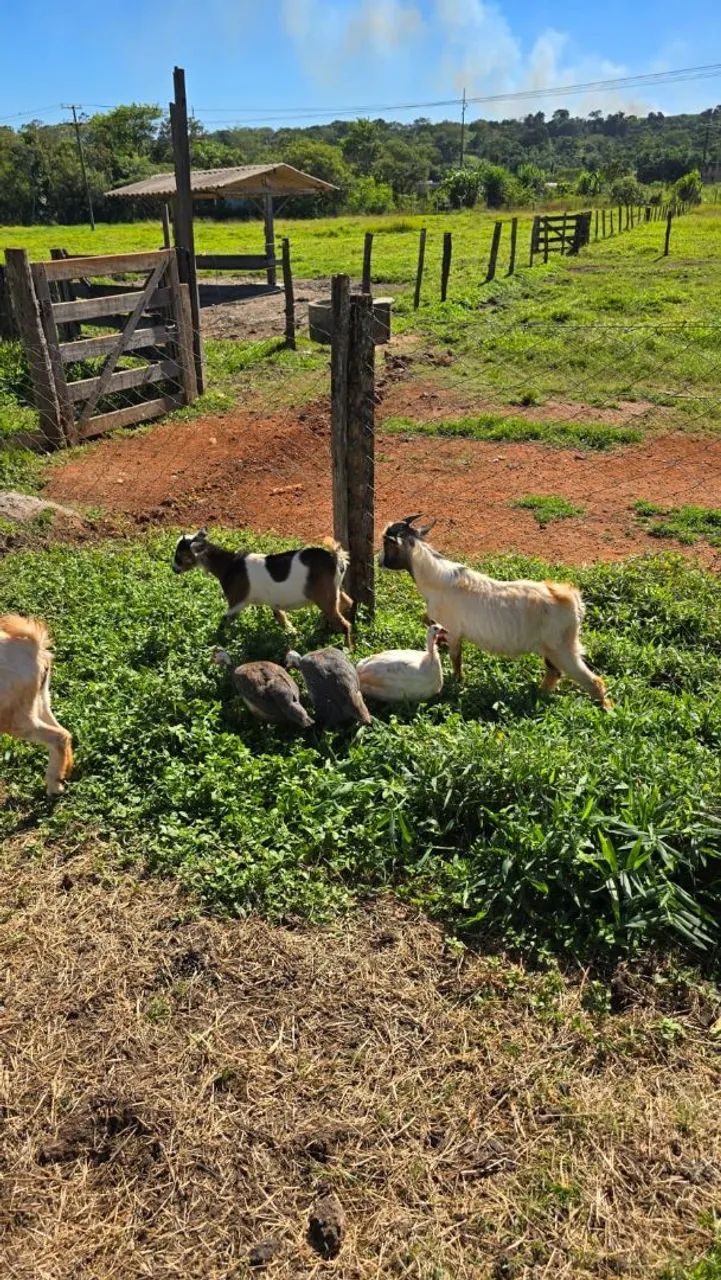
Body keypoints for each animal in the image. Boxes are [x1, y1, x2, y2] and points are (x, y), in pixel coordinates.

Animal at [0, 614, 74, 795]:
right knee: (64, 731)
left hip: (14, 718)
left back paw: (54, 786)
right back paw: (64, 773)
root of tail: (32, 648)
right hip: (40, 699)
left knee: (59, 736)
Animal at [172, 529, 354, 647]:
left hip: (324, 595)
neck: (229, 565)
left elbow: (224, 620)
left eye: (179, 556)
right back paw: (320, 627)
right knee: (347, 602)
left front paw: (217, 642)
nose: (174, 569)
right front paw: (294, 633)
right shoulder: (273, 602)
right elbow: (280, 616)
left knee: (344, 624)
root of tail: (335, 558)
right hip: (334, 590)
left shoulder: (237, 601)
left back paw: (348, 649)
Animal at [379, 515, 610, 708]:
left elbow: (456, 658)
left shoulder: (453, 630)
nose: (379, 561)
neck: (438, 581)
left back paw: (606, 710)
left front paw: (458, 683)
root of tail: (572, 599)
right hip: (552, 648)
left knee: (593, 681)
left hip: (563, 648)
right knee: (554, 672)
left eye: (386, 543)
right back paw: (537, 696)